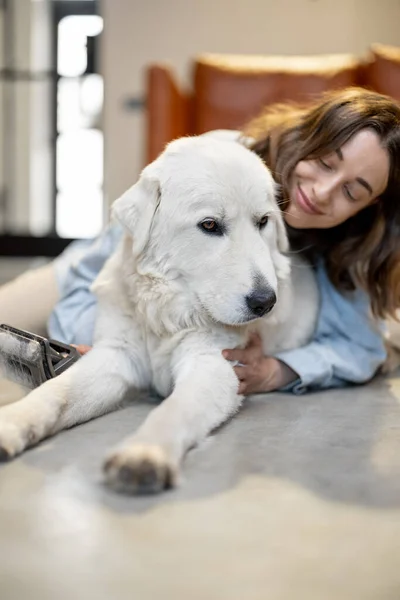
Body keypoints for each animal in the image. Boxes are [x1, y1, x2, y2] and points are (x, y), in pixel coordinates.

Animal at [0, 135, 318, 492]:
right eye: (210, 225)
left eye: (263, 222)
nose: (265, 302)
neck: (165, 315)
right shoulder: (115, 356)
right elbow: (56, 392)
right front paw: (11, 422)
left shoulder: (212, 366)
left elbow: (173, 411)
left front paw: (144, 454)